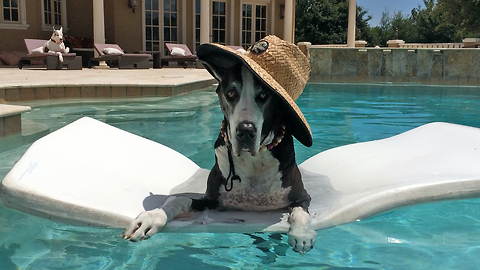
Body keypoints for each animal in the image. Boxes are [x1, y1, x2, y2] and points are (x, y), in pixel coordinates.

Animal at [122, 35, 316, 253]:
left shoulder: (302, 197)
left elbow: (300, 213)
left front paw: (302, 234)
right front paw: (151, 217)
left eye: (264, 95)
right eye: (231, 93)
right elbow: (179, 198)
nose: (246, 130)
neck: (252, 160)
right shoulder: (211, 200)